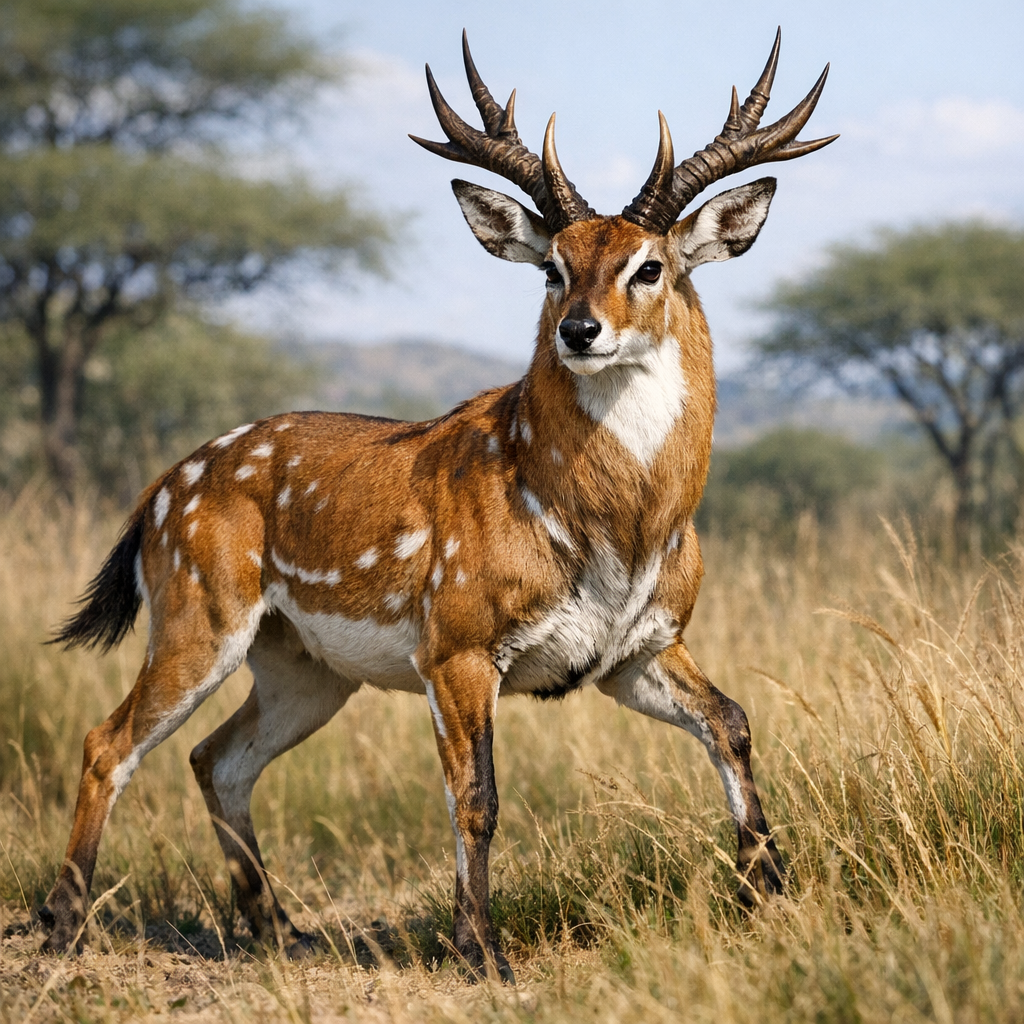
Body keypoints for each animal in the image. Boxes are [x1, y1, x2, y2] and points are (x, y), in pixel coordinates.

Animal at [38, 30, 835, 981]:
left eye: (650, 267)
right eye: (553, 268)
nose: (580, 331)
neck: (615, 530)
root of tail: (159, 491)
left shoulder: (637, 647)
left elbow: (733, 722)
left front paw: (771, 891)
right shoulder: (456, 641)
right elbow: (476, 796)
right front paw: (482, 951)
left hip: (304, 665)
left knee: (217, 758)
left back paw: (281, 928)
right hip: (199, 617)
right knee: (108, 742)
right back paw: (63, 925)